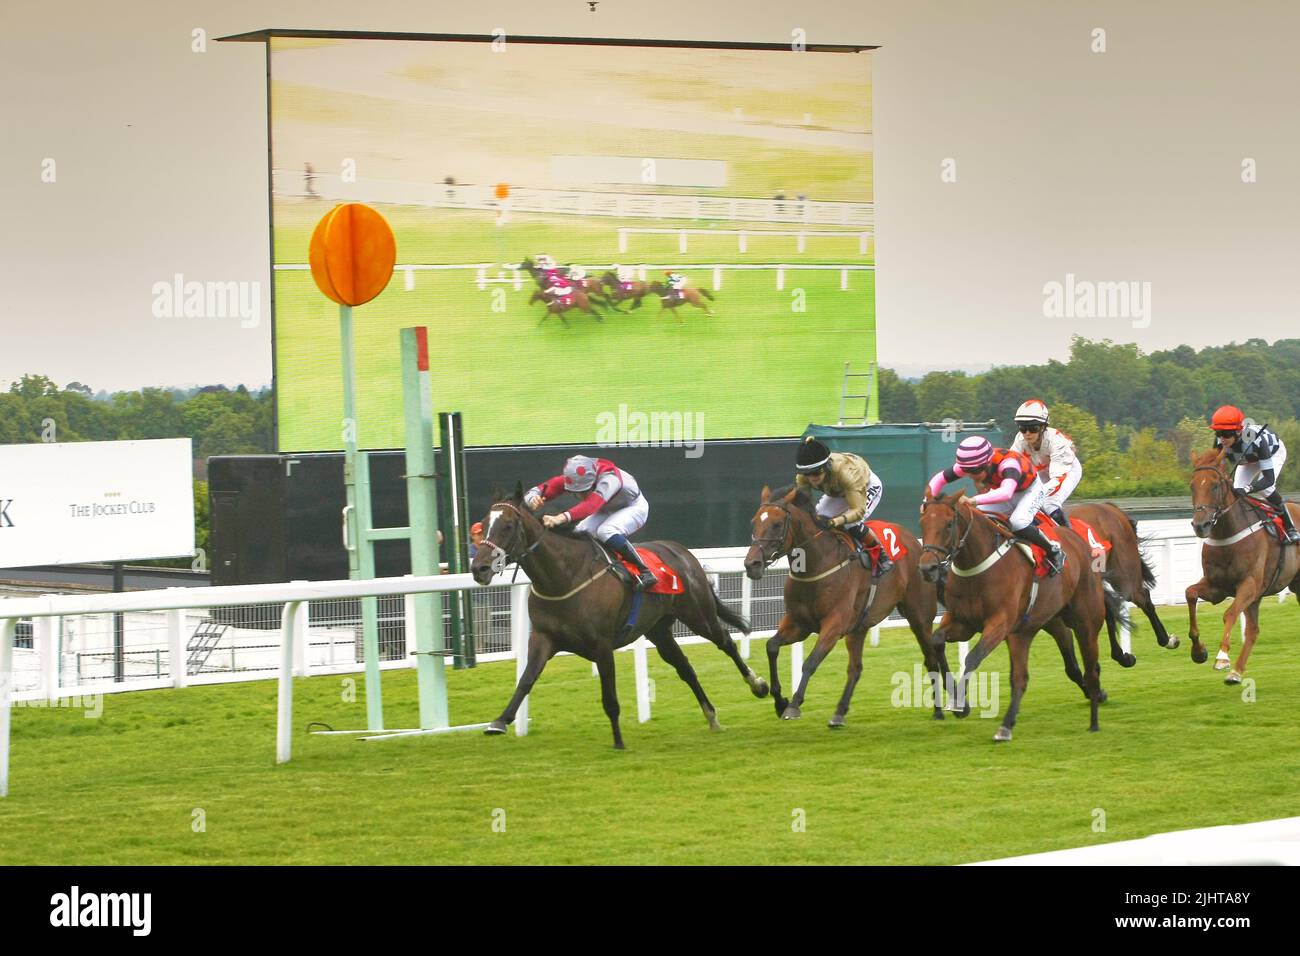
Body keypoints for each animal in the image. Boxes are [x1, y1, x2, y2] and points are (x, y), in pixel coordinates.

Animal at [470, 489, 764, 749]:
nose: (478, 568)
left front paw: (618, 741)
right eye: (483, 524)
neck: (565, 577)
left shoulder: (602, 645)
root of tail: (682, 551)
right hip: (659, 630)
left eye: (508, 525)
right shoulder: (543, 638)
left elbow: (609, 697)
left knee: (725, 641)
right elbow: (526, 680)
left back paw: (758, 685)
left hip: (698, 614)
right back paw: (711, 716)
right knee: (685, 668)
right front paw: (499, 722)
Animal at [743, 486, 946, 723]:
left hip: (919, 616)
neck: (815, 566)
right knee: (855, 668)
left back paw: (939, 710)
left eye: (776, 524)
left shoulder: (834, 625)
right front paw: (778, 700)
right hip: (859, 625)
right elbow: (772, 646)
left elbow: (810, 662)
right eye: (754, 522)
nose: (751, 564)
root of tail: (918, 544)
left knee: (931, 659)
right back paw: (839, 713)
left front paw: (793, 705)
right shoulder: (799, 624)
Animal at [915, 494, 1128, 738]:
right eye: (923, 523)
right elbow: (937, 641)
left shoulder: (1000, 622)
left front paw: (960, 704)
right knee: (1056, 663)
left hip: (1079, 616)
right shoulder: (963, 622)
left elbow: (973, 656)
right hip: (1046, 621)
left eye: (949, 524)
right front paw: (957, 698)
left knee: (1091, 649)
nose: (928, 568)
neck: (977, 566)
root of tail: (1076, 537)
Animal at [1190, 447, 1300, 681]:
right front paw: (1199, 651)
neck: (1227, 535)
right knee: (1253, 631)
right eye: (1192, 485)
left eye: (1215, 485)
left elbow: (1230, 614)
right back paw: (1236, 672)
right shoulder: (1217, 587)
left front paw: (1222, 657)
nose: (1200, 525)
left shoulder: (1249, 585)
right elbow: (1190, 594)